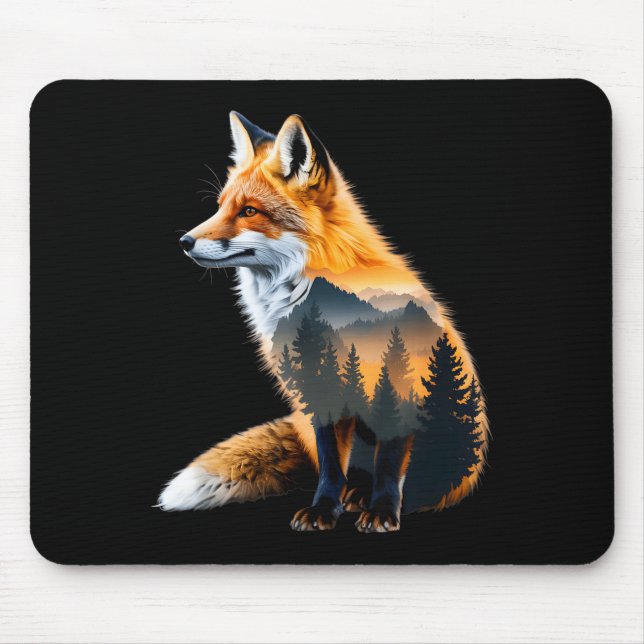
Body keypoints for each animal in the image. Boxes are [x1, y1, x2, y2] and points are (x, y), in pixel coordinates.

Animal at [158, 111, 489, 532]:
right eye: (219, 207)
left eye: (249, 211)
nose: (184, 241)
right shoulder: (319, 389)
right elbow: (332, 466)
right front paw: (323, 510)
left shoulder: (400, 382)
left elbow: (390, 464)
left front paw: (383, 511)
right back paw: (354, 495)